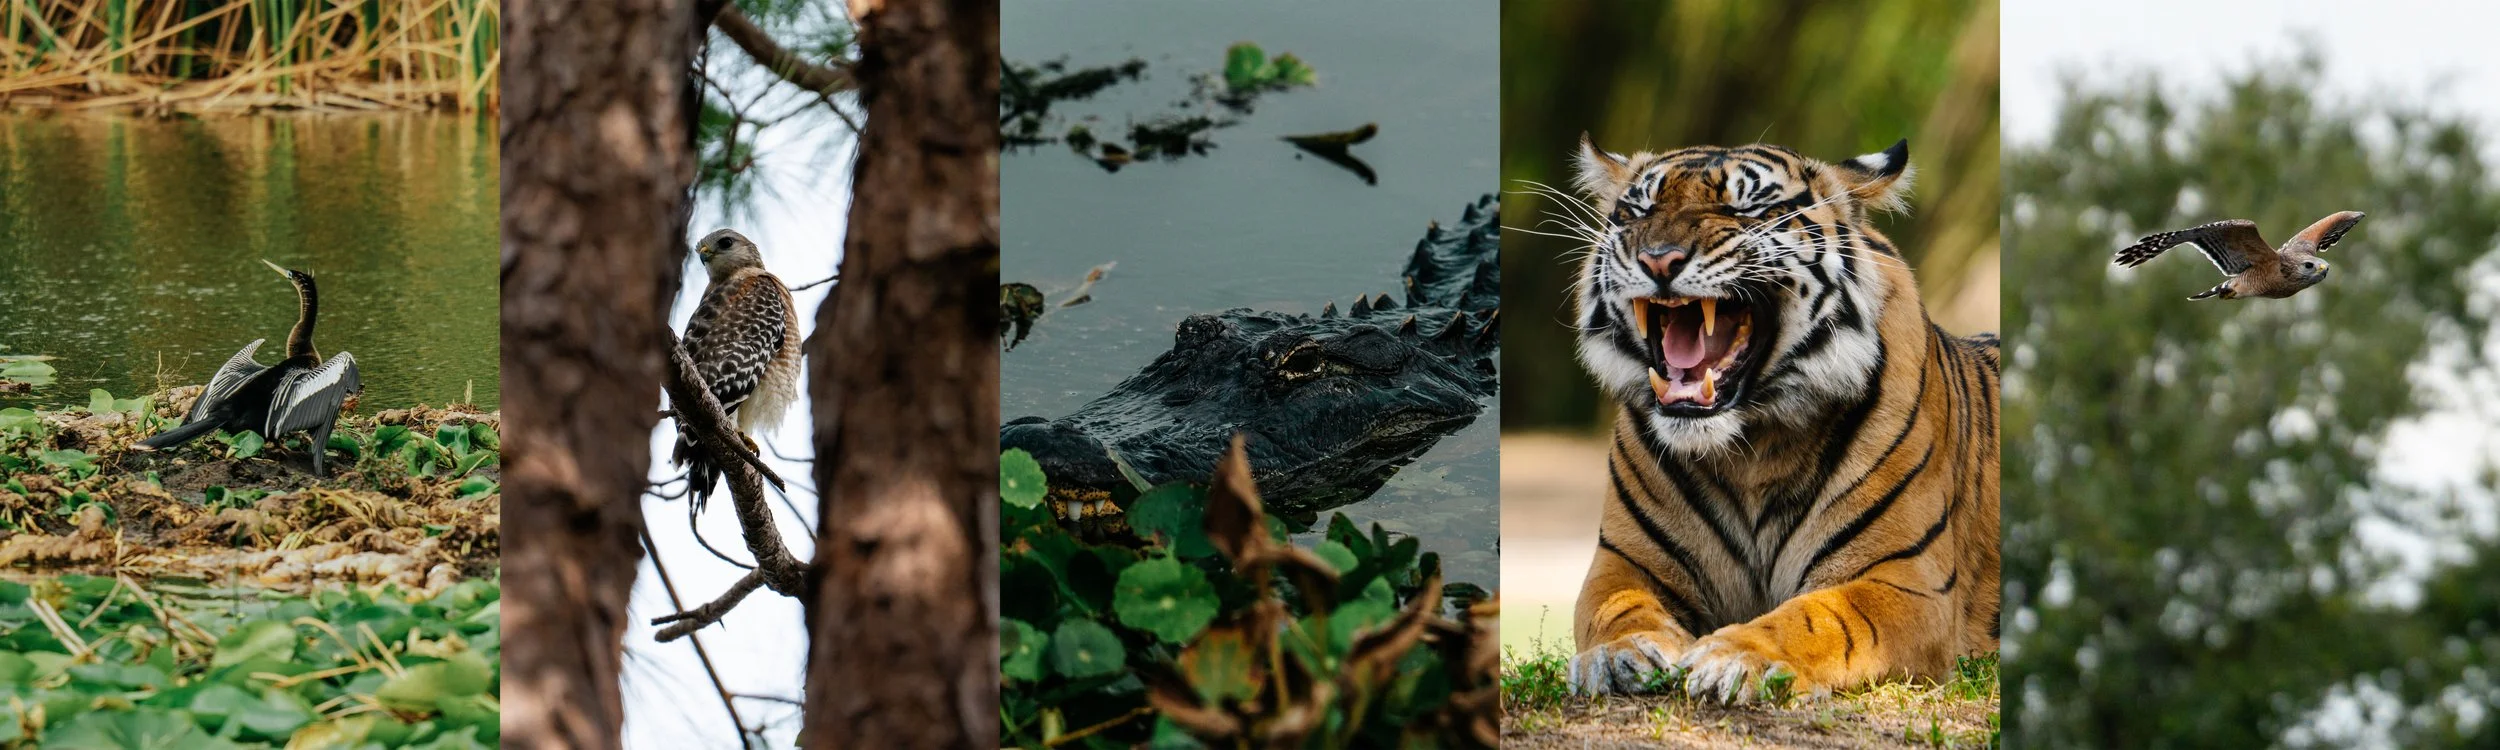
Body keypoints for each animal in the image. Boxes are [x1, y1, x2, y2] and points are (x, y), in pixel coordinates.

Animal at [1557, 135, 1999, 702]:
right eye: (1638, 211)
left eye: (1744, 209)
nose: (1659, 260)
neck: (1751, 448)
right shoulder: (1624, 561)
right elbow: (1617, 608)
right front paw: (1619, 655)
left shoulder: (1906, 581)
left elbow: (1818, 616)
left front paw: (1735, 655)